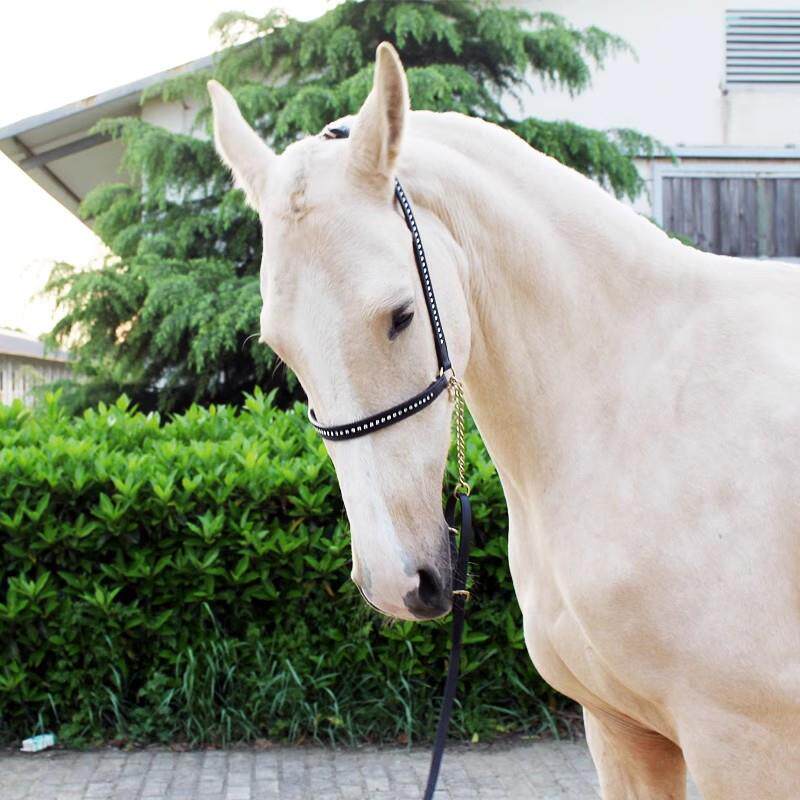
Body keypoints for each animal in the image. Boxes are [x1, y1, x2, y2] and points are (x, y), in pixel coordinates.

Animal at [208, 42, 800, 799]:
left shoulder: (743, 745)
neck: (635, 410)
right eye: (280, 347)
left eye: (402, 314)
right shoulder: (621, 731)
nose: (397, 582)